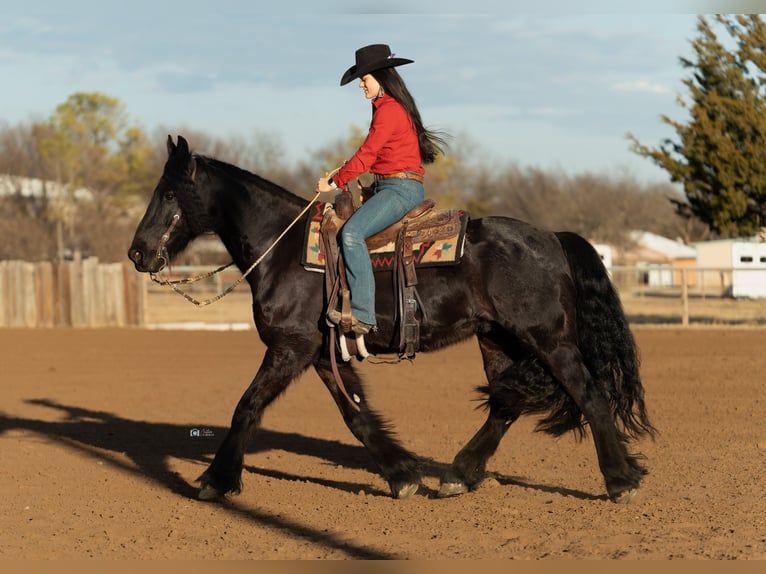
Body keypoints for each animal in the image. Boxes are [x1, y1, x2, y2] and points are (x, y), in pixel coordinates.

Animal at [129, 135, 656, 504]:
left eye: (169, 194)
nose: (137, 252)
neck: (285, 252)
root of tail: (552, 237)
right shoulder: (322, 353)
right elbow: (356, 415)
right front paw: (402, 475)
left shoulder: (290, 347)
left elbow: (247, 405)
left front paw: (215, 481)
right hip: (498, 341)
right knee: (505, 405)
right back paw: (458, 475)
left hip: (550, 340)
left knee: (589, 394)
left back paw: (620, 481)